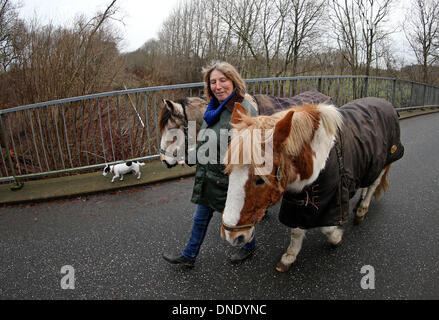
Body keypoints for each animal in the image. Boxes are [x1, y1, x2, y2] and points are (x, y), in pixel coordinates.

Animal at [223, 97, 406, 272]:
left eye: (260, 180)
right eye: (230, 172)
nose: (231, 236)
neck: (317, 159)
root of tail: (386, 103)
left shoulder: (333, 200)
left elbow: (326, 228)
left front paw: (336, 238)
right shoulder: (297, 201)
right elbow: (297, 230)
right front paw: (290, 256)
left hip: (385, 160)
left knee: (374, 184)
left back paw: (362, 209)